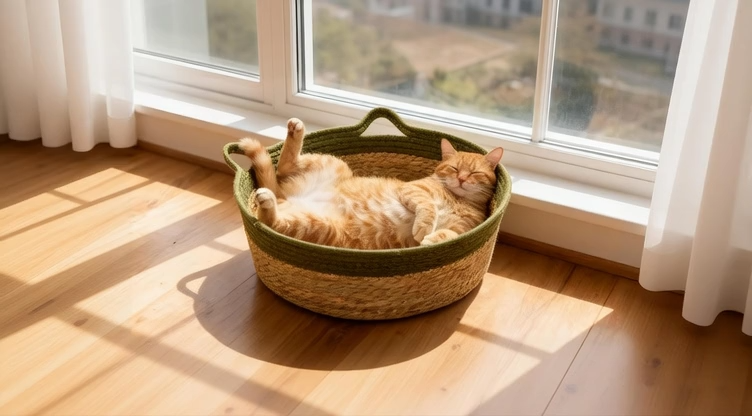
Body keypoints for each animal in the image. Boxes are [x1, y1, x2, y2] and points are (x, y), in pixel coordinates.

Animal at [238, 117, 504, 250]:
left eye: (474, 173)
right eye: (454, 169)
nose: (461, 179)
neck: (456, 198)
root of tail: (286, 198)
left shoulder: (466, 230)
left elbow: (448, 234)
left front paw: (430, 239)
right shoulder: (413, 189)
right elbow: (428, 207)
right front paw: (425, 227)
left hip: (316, 225)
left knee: (270, 221)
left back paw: (266, 199)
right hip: (334, 164)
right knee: (282, 168)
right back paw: (295, 130)